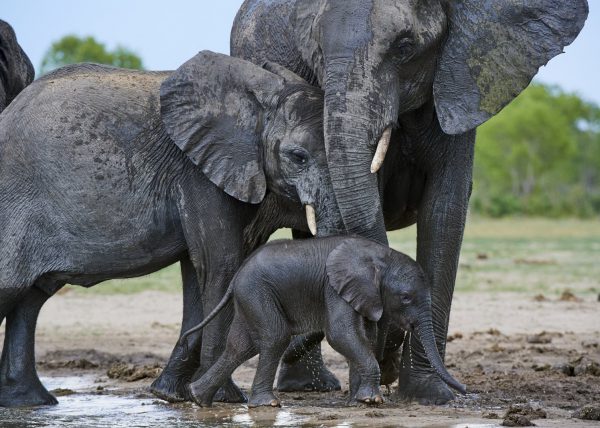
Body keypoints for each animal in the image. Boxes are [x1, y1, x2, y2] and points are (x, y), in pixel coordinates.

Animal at [0, 51, 342, 408]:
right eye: (298, 157)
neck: (258, 93)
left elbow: (197, 271)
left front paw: (172, 395)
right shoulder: (198, 172)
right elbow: (222, 265)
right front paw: (224, 400)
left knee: (30, 298)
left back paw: (29, 402)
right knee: (12, 288)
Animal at [180, 237, 466, 408]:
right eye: (405, 298)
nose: (463, 390)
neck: (381, 256)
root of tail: (237, 274)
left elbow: (365, 337)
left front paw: (358, 402)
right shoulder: (334, 288)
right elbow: (340, 334)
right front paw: (371, 401)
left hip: (249, 296)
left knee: (241, 346)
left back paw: (197, 398)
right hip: (257, 291)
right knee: (275, 337)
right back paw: (266, 404)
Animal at [232, 0, 588, 404]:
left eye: (404, 48)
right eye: (317, 53)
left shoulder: (459, 81)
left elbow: (445, 211)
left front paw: (428, 393)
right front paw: (373, 383)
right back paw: (311, 385)